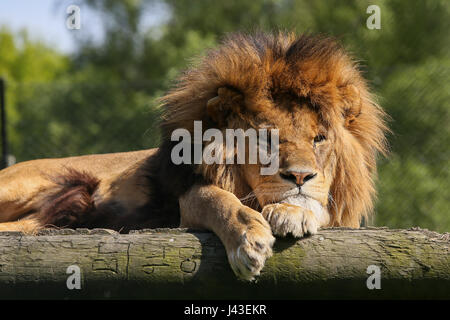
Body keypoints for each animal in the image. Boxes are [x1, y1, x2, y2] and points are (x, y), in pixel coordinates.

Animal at [0, 31, 386, 278]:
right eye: (265, 138)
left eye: (319, 138)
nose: (301, 176)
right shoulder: (188, 200)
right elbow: (221, 201)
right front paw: (249, 242)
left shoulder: (344, 217)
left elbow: (321, 208)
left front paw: (293, 212)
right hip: (21, 185)